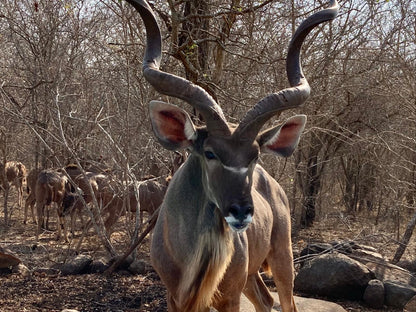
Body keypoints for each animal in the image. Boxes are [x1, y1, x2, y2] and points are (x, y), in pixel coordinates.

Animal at [124, 0, 338, 312]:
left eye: (254, 155)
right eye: (210, 152)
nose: (241, 211)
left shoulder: (229, 296)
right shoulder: (174, 296)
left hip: (282, 257)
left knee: (285, 301)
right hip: (251, 275)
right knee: (265, 299)